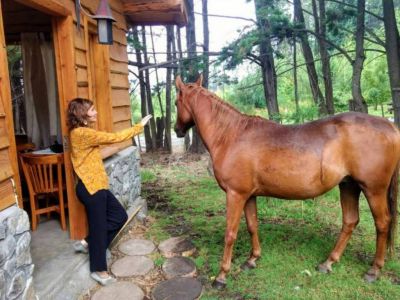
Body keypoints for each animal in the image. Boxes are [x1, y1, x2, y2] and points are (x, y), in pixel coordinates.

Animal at [174, 75, 400, 288]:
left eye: (176, 103)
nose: (177, 130)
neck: (231, 135)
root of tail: (391, 126)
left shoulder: (235, 194)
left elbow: (230, 233)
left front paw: (222, 275)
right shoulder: (249, 195)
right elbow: (252, 225)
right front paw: (252, 259)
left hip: (374, 189)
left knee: (382, 223)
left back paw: (373, 270)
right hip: (349, 185)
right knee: (350, 221)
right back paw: (328, 262)